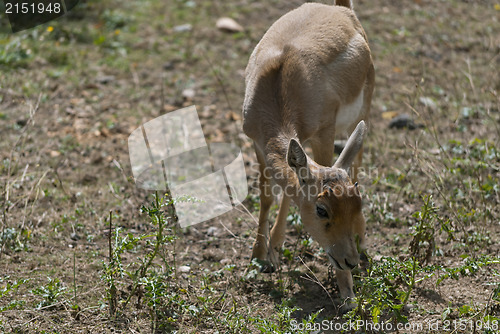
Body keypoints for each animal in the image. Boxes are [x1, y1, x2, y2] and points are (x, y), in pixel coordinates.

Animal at [240, 0, 374, 302]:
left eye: (358, 203)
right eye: (321, 209)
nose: (349, 261)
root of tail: (341, 9)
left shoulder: (324, 132)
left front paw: (347, 294)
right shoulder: (257, 143)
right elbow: (268, 196)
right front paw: (260, 257)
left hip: (362, 115)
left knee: (356, 162)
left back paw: (362, 244)